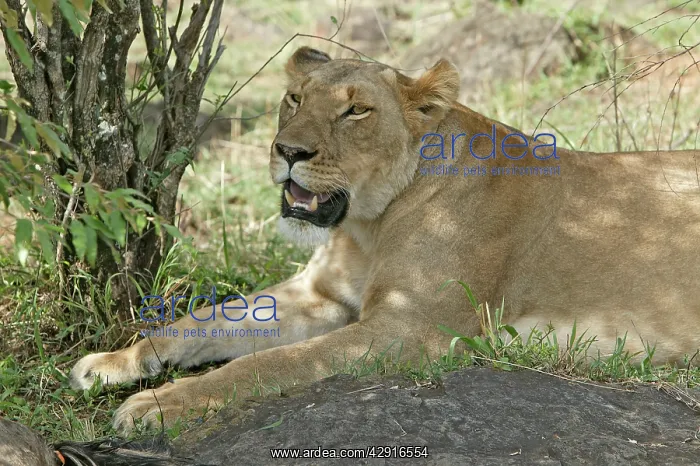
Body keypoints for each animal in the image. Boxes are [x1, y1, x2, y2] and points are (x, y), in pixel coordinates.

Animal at [70, 46, 700, 434]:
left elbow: (265, 365)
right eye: (295, 99)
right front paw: (113, 363)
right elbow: (199, 323)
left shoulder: (409, 330)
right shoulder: (318, 297)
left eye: (356, 110)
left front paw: (158, 404)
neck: (369, 224)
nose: (288, 151)